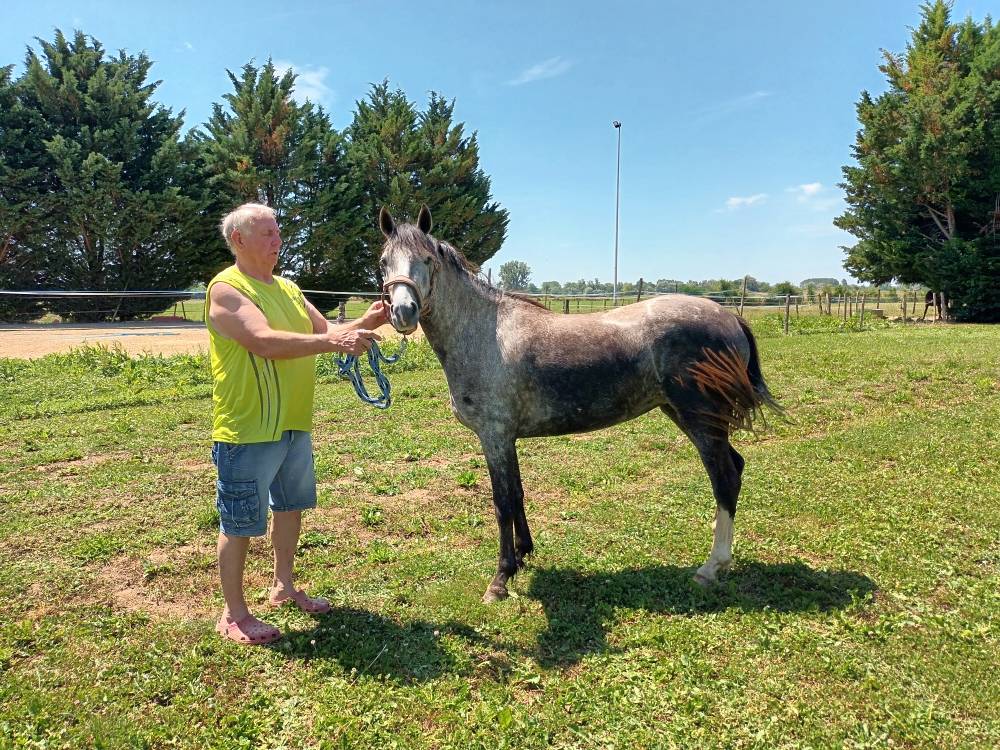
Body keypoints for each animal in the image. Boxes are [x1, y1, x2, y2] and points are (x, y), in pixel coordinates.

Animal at [378, 206, 781, 603]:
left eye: (428, 260)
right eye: (384, 261)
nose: (403, 312)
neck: (484, 333)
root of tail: (730, 317)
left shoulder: (494, 436)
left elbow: (502, 502)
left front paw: (501, 578)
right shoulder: (508, 439)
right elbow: (518, 493)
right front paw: (523, 554)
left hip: (700, 419)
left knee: (724, 478)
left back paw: (711, 568)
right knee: (735, 468)